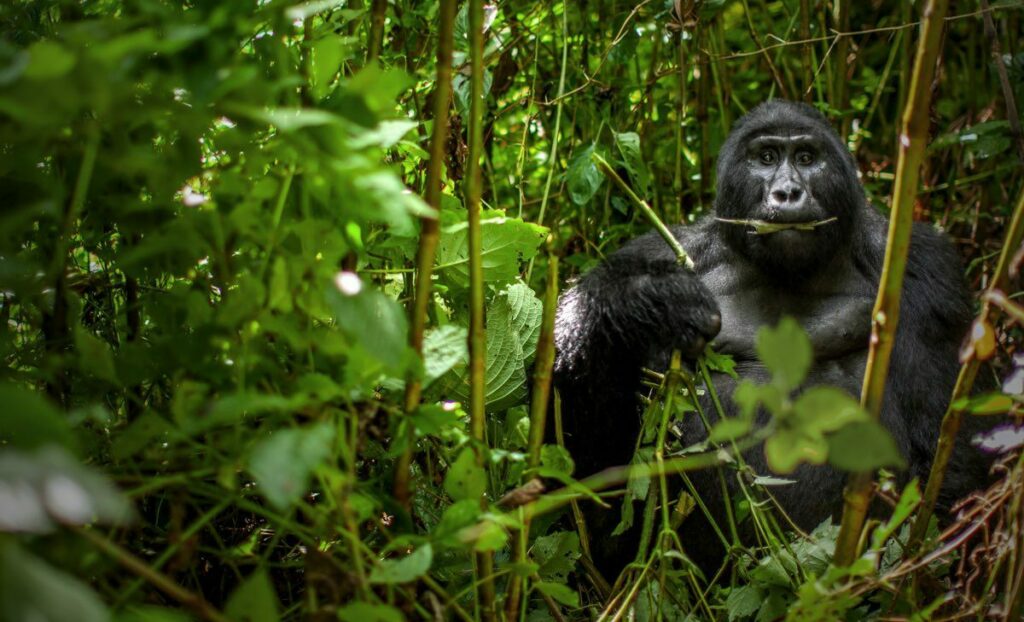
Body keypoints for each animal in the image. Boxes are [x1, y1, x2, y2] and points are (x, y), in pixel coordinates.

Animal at [557, 100, 987, 573]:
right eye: (765, 158)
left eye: (806, 158)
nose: (787, 192)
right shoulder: (657, 251)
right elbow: (588, 461)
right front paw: (643, 301)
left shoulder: (924, 267)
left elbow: (948, 451)